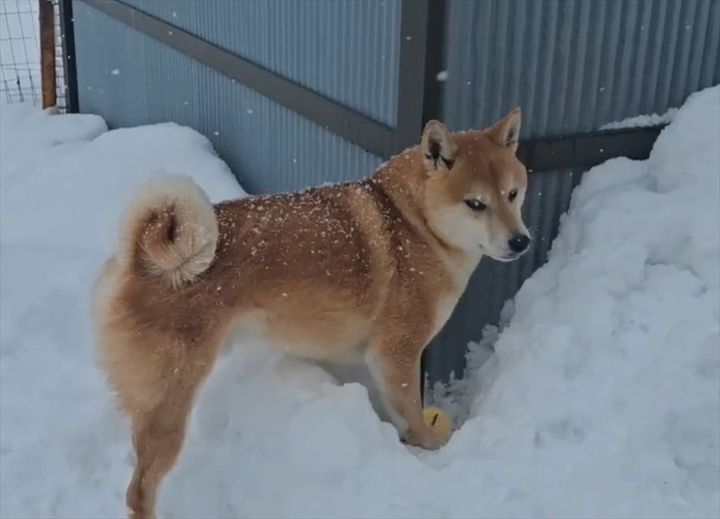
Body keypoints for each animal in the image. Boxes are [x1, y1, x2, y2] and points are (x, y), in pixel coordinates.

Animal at [93, 108, 530, 519]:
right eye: (476, 204)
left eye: (512, 194)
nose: (521, 242)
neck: (414, 223)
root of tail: (138, 259)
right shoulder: (396, 353)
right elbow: (411, 414)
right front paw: (431, 446)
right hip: (172, 400)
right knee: (139, 490)